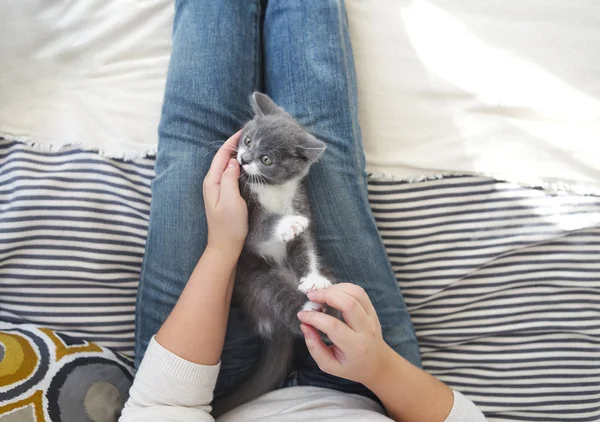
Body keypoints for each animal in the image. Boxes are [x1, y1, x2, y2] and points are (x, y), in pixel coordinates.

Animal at [213, 93, 336, 416]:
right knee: (278, 299)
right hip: (256, 282)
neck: (272, 190)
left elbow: (303, 247)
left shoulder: (300, 200)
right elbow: (261, 229)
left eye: (266, 159)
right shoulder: (244, 213)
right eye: (247, 140)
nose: (243, 159)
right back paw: (310, 309)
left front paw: (313, 278)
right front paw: (288, 223)